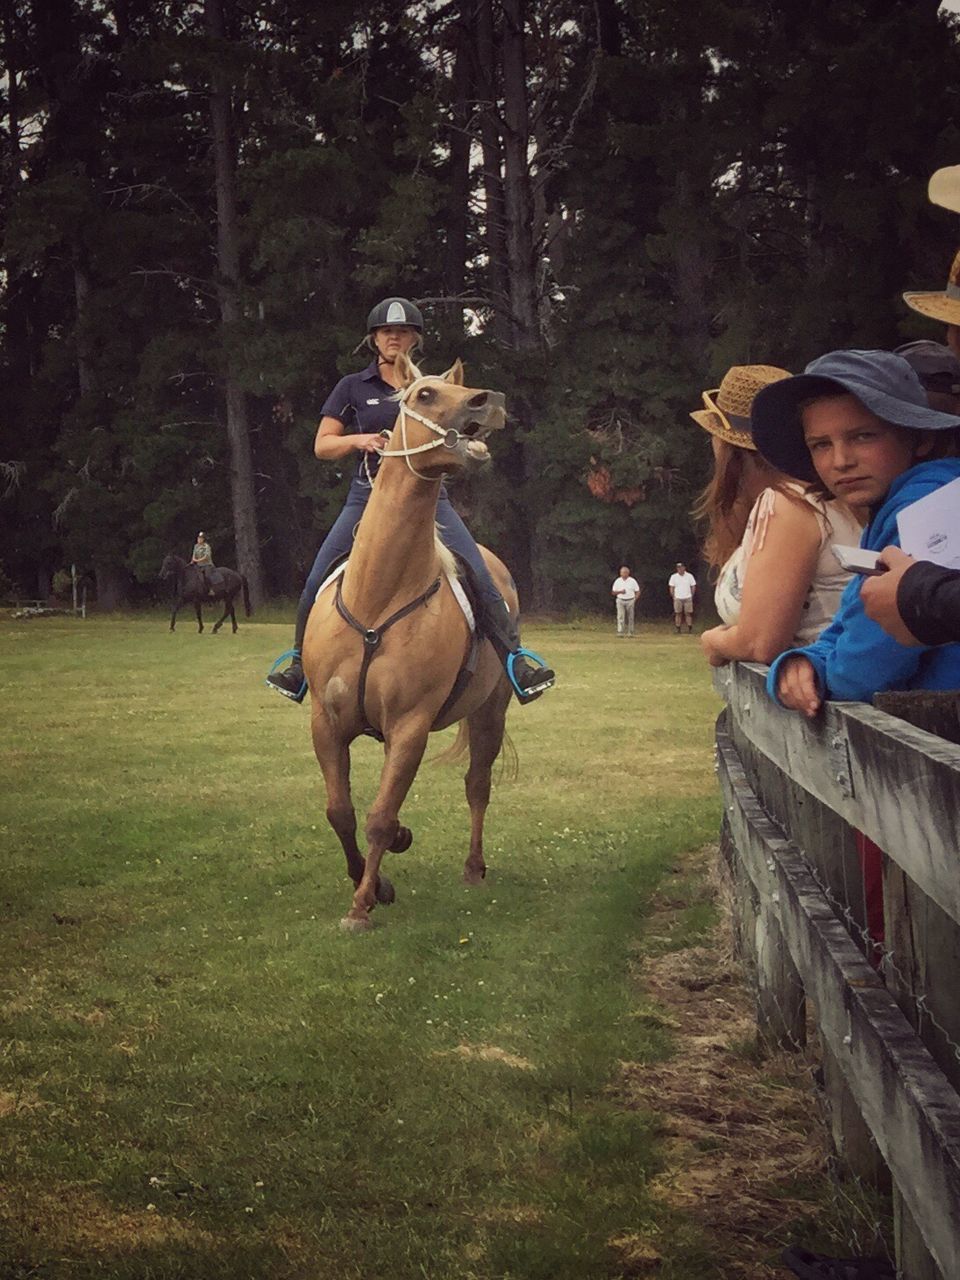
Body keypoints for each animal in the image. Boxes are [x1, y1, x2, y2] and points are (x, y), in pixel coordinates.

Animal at [305, 353, 519, 931]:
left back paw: (473, 868)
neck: (379, 596)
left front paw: (362, 904)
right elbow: (340, 811)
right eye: (424, 394)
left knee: (477, 785)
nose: (488, 402)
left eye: (459, 388)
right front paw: (373, 882)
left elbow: (379, 816)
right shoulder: (326, 721)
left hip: (491, 711)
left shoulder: (410, 727)